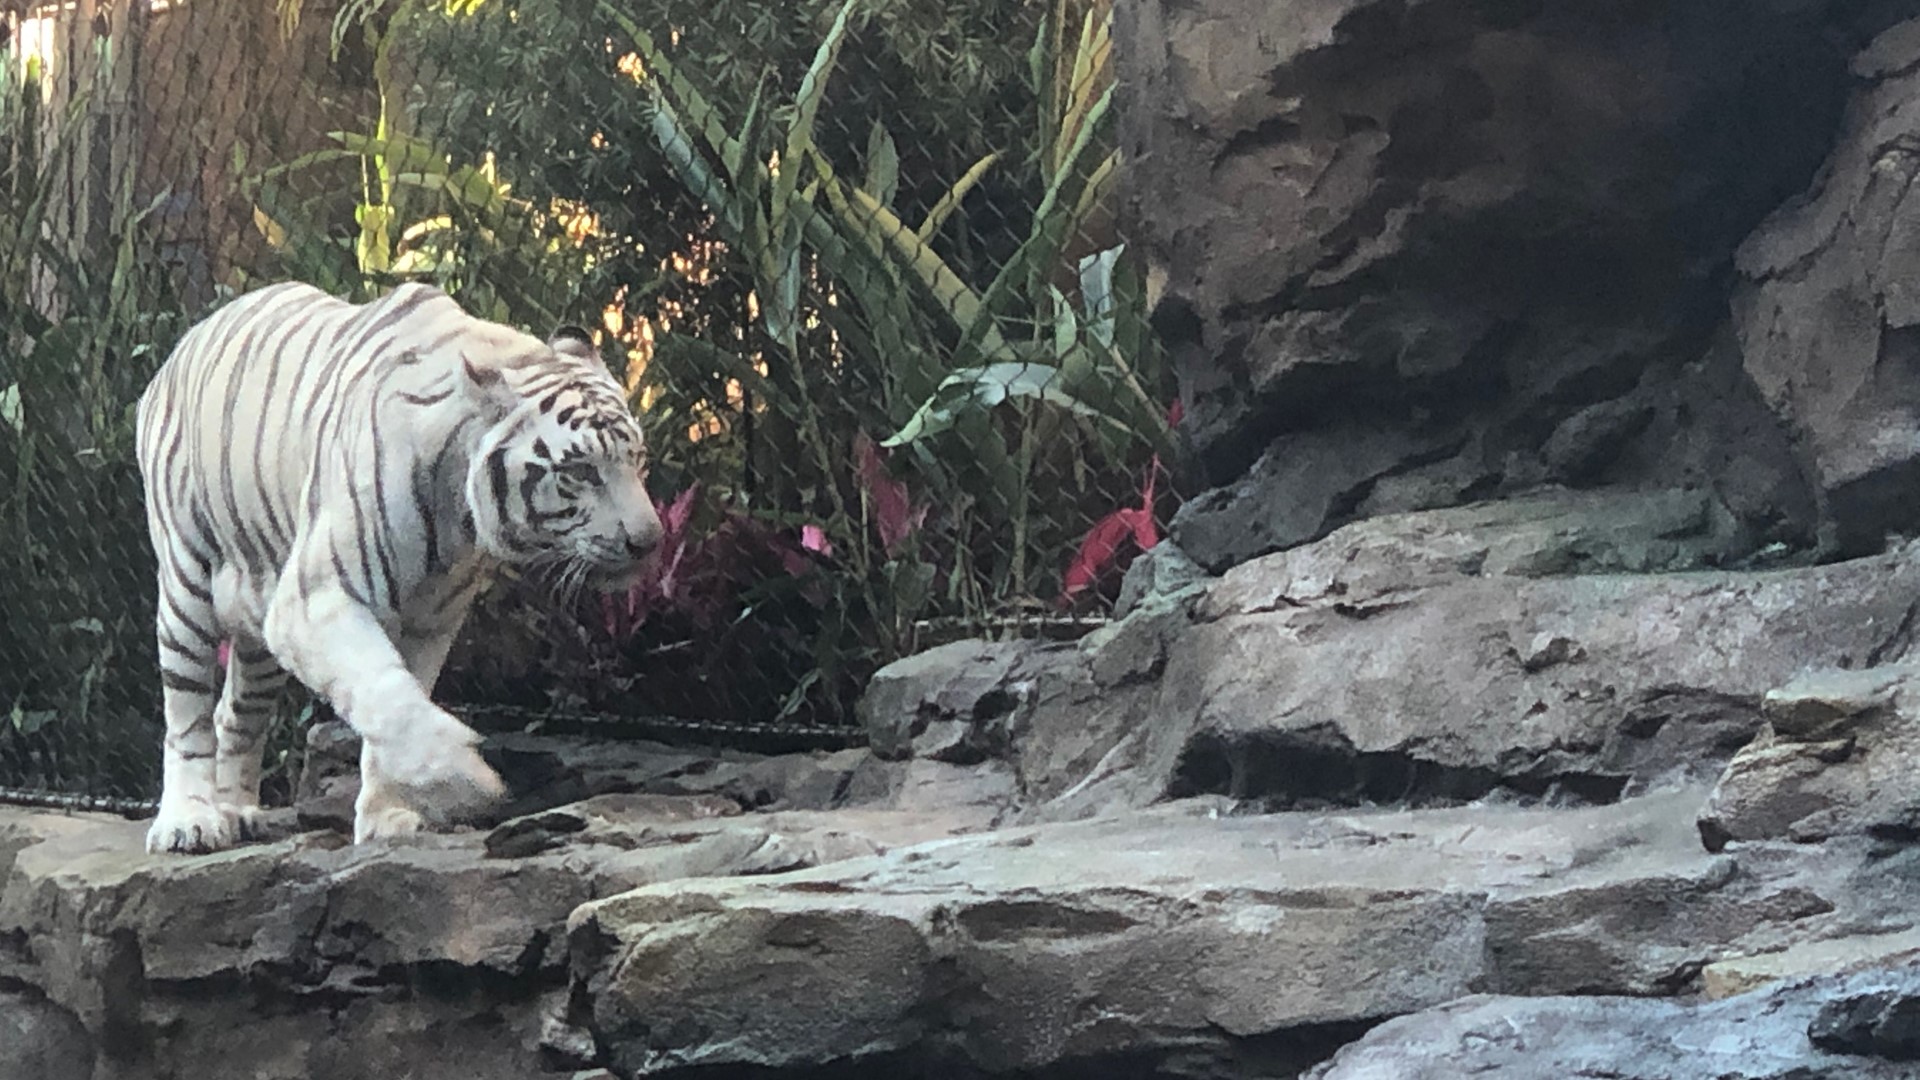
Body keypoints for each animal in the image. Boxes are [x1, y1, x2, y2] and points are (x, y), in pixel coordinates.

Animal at [134, 280, 662, 854]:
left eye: (637, 459)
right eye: (580, 471)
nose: (649, 541)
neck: (459, 513)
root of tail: (187, 341)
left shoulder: (430, 618)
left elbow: (398, 699)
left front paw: (389, 816)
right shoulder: (315, 599)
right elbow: (390, 699)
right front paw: (464, 780)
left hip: (258, 610)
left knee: (235, 713)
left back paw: (237, 811)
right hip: (187, 585)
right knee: (187, 715)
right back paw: (189, 821)